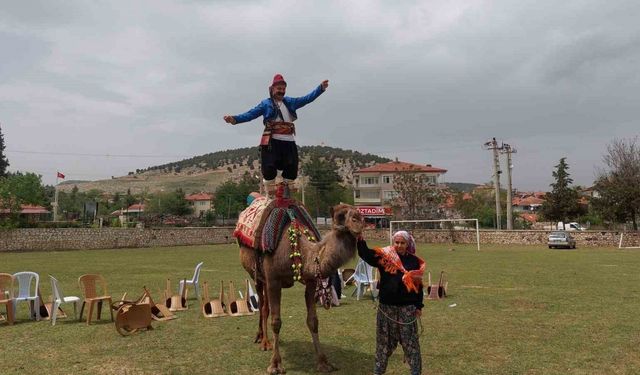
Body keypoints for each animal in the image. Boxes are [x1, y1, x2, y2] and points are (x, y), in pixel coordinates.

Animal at [239, 204, 362, 374]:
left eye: (359, 214)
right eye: (340, 215)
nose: (358, 221)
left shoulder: (311, 281)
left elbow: (313, 321)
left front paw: (323, 362)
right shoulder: (273, 279)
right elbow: (276, 321)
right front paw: (275, 365)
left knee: (266, 306)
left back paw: (264, 338)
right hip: (257, 276)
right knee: (263, 306)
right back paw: (264, 342)